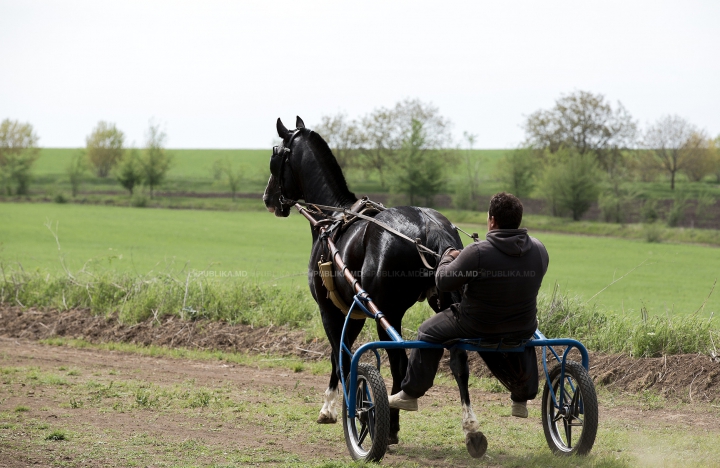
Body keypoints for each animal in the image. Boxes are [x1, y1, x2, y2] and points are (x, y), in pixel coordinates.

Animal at [262, 116, 484, 454]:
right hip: (445, 303)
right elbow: (341, 355)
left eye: (276, 157)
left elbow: (340, 357)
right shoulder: (353, 311)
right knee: (459, 360)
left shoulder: (331, 310)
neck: (333, 219)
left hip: (388, 313)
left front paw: (335, 409)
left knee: (399, 363)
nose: (268, 198)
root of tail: (429, 225)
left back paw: (389, 425)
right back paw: (470, 428)